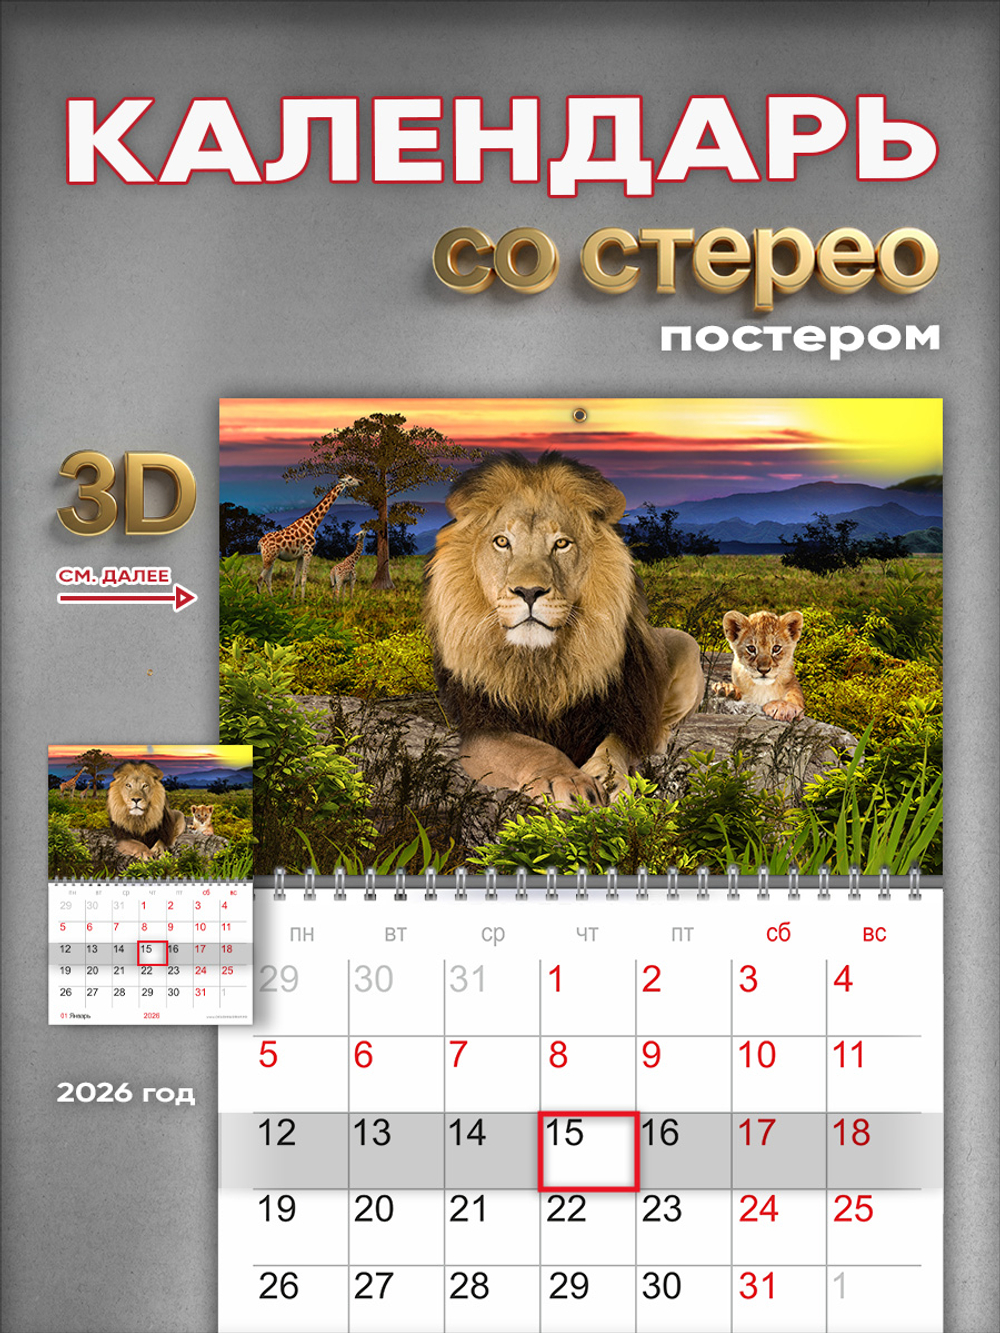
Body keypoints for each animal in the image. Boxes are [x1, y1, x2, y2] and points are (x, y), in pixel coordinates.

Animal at [423, 452, 704, 808]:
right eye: (502, 542)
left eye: (561, 544)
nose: (529, 592)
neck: (542, 662)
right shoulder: (483, 728)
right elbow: (531, 748)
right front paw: (569, 779)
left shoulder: (621, 714)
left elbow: (615, 746)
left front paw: (610, 776)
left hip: (686, 643)